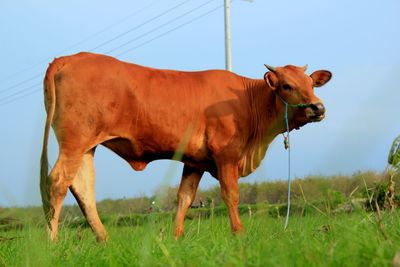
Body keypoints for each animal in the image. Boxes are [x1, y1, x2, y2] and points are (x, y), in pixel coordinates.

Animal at [39, 52, 332, 243]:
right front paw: (238, 233)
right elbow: (231, 195)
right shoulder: (226, 155)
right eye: (287, 85)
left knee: (83, 187)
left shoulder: (194, 161)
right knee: (57, 183)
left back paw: (104, 239)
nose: (318, 108)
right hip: (75, 141)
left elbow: (185, 198)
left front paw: (176, 237)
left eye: (311, 84)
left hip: (86, 147)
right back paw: (52, 243)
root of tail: (70, 57)